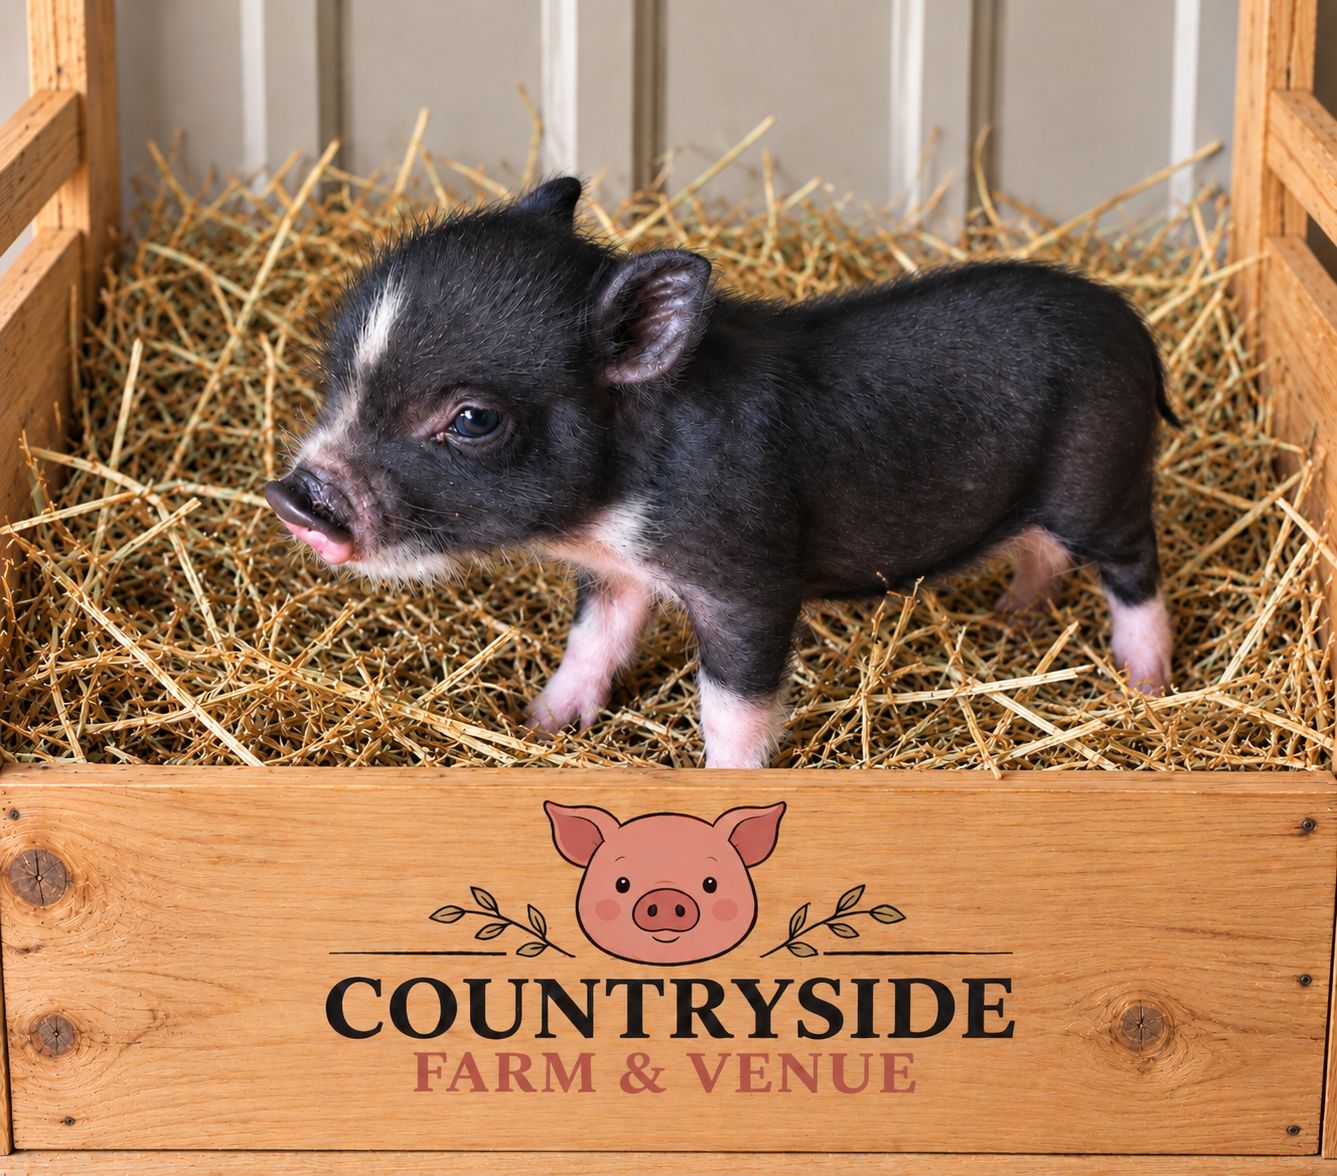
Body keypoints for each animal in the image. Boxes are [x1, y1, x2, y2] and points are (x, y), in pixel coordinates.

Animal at [265, 176, 1177, 768]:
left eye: (472, 420)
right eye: (339, 374)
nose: (293, 496)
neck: (610, 510)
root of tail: (1131, 325)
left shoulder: (749, 578)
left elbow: (731, 704)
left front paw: (723, 783)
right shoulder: (617, 573)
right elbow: (591, 643)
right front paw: (537, 725)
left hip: (1099, 477)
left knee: (1134, 560)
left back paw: (1145, 683)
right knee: (1042, 550)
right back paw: (1009, 617)